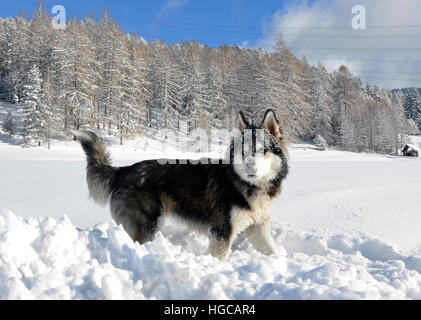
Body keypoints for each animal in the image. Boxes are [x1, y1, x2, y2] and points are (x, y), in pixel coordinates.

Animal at [72, 109, 288, 258]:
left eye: (263, 150)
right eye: (244, 151)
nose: (250, 167)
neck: (248, 186)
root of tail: (123, 170)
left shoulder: (258, 229)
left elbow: (272, 251)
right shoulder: (221, 232)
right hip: (147, 225)